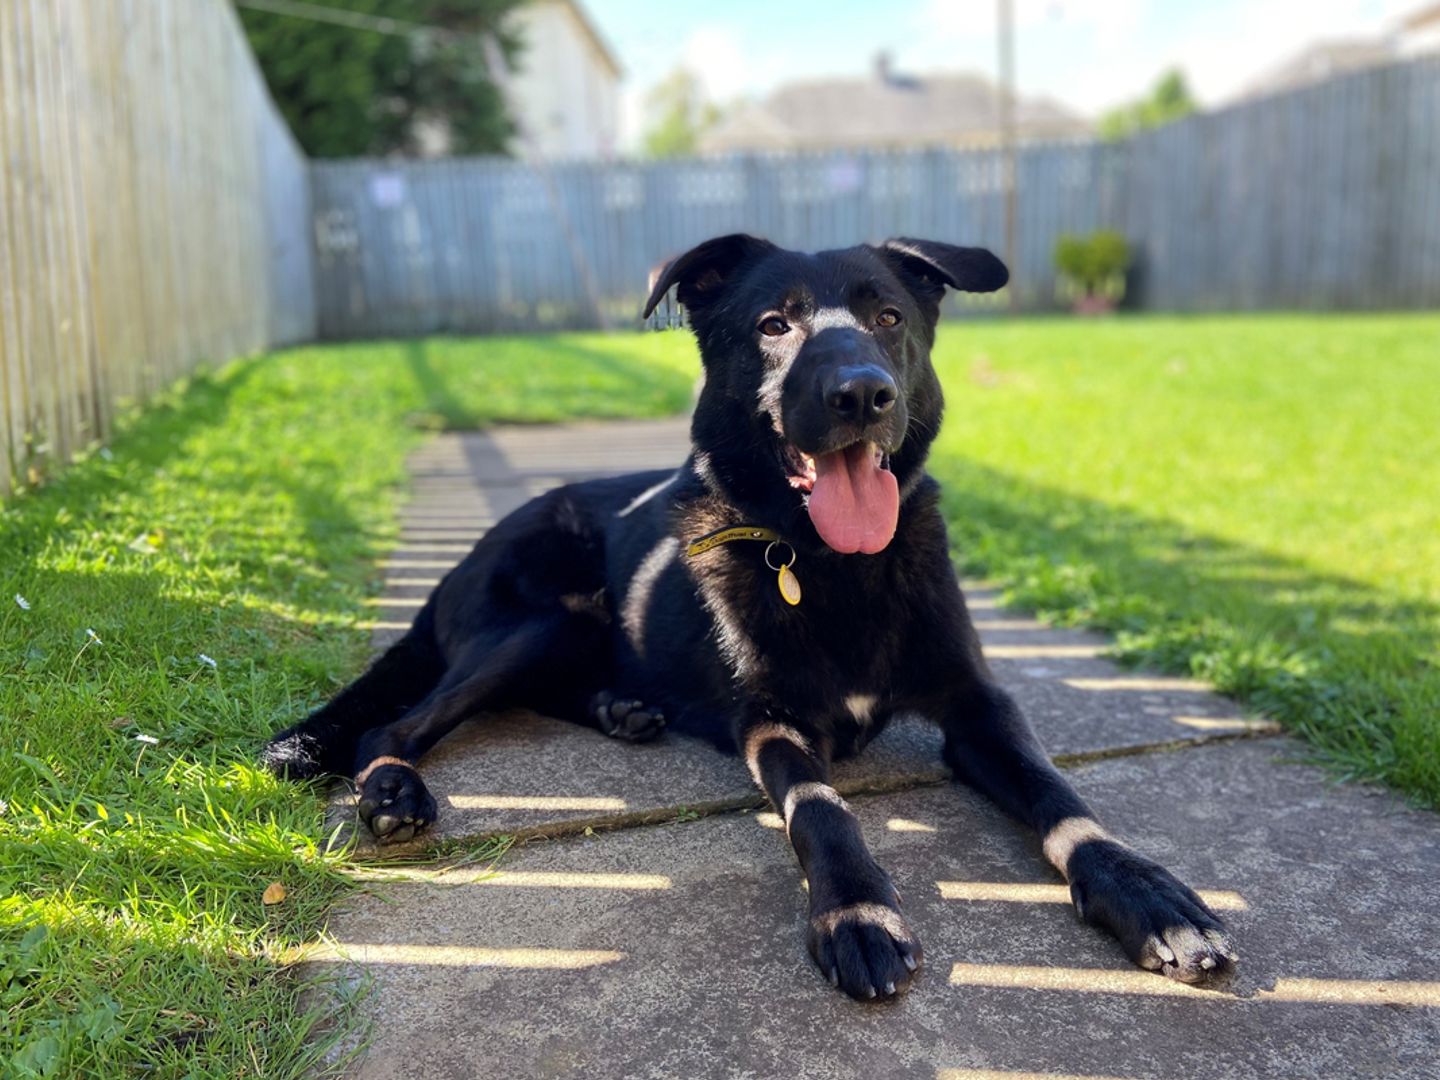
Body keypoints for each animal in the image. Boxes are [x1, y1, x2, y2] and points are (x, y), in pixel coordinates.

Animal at [267, 236, 1238, 1008]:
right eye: (775, 324)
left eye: (889, 316)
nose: (862, 393)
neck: (834, 566)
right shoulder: (770, 722)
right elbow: (821, 809)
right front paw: (856, 911)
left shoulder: (978, 706)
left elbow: (1062, 797)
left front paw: (1147, 894)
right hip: (540, 622)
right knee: (398, 721)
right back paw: (394, 788)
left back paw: (623, 709)